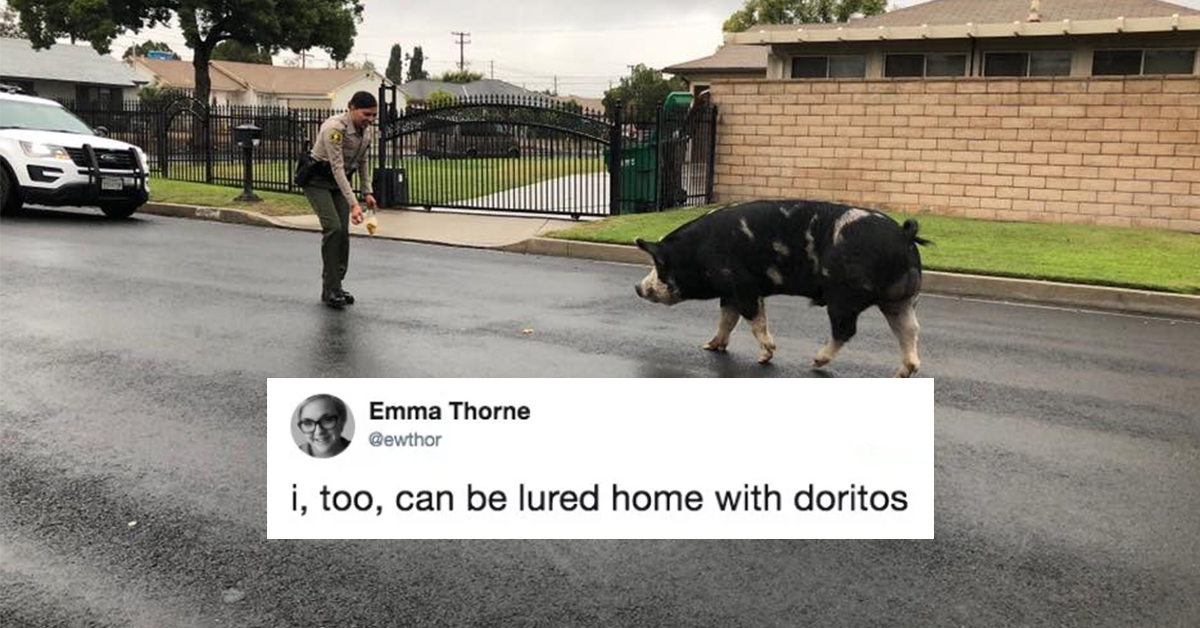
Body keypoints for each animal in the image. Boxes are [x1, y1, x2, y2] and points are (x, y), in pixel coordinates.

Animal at [634, 200, 929, 377]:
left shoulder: (744, 286)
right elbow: (727, 320)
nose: (638, 287)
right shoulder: (730, 292)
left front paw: (765, 357)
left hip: (844, 296)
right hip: (901, 300)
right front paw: (709, 346)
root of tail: (904, 235)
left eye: (659, 265)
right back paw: (902, 372)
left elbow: (755, 321)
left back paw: (816, 361)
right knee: (910, 329)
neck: (699, 252)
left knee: (846, 330)